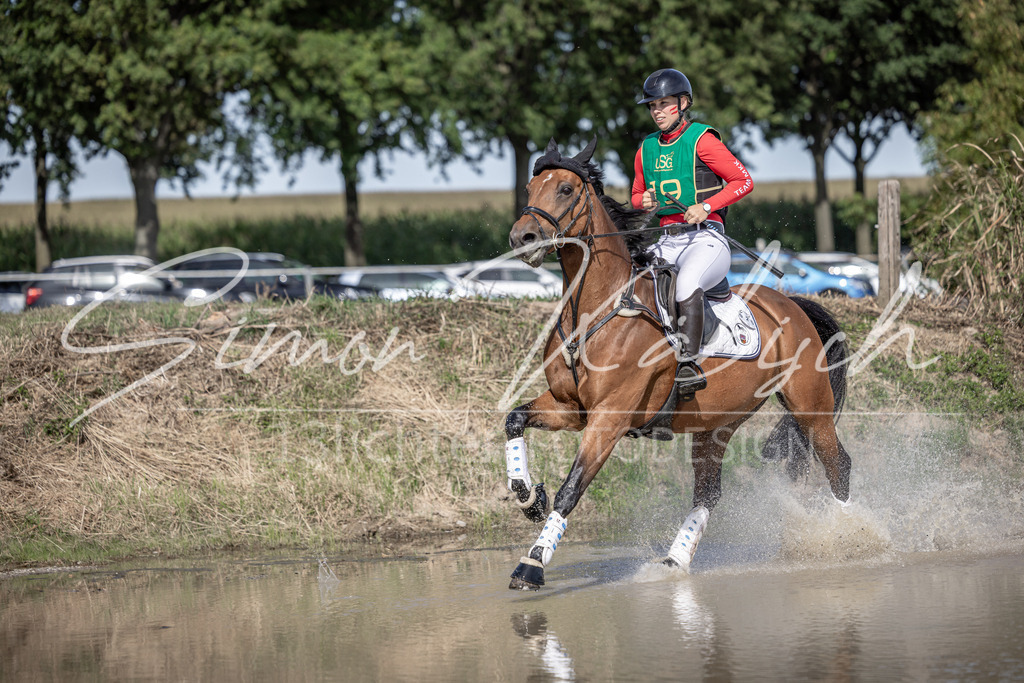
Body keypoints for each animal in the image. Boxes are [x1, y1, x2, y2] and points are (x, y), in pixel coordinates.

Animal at [501, 138, 852, 590]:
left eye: (564, 189)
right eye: (530, 189)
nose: (522, 237)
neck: (595, 308)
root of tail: (791, 302)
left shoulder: (609, 417)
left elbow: (572, 488)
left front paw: (532, 563)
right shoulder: (570, 407)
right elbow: (514, 420)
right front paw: (527, 496)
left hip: (810, 406)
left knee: (836, 464)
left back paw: (851, 535)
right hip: (718, 421)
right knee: (708, 492)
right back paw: (674, 560)